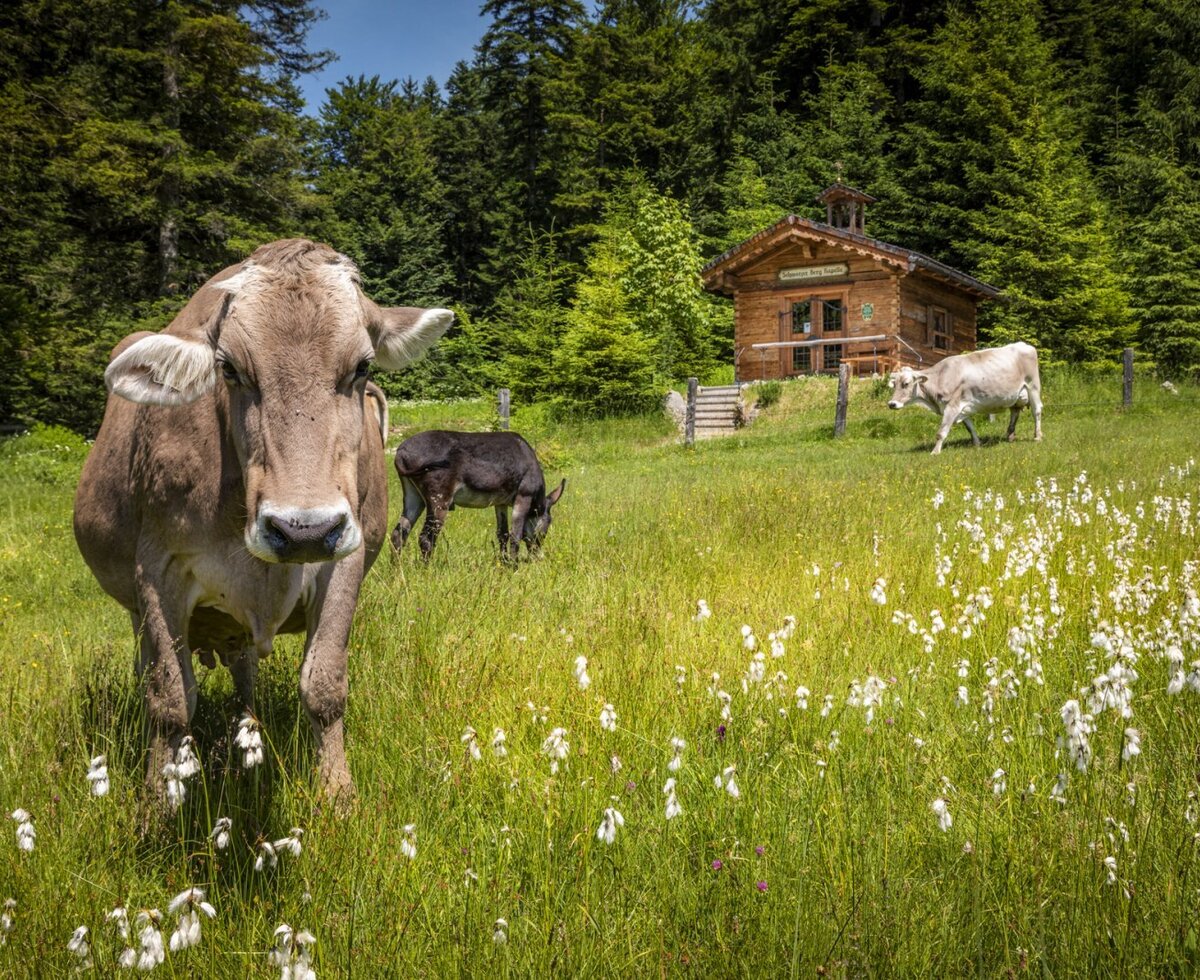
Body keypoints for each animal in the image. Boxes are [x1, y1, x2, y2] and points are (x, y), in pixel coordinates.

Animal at [73, 239, 453, 803]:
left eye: (361, 367)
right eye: (230, 369)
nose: (303, 530)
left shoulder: (347, 556)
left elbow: (324, 686)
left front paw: (338, 797)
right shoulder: (157, 572)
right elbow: (168, 700)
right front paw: (158, 802)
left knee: (245, 670)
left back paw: (248, 735)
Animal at [389, 431, 565, 562]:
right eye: (547, 525)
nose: (536, 558)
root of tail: (401, 451)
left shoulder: (500, 503)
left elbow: (502, 534)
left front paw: (504, 563)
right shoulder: (524, 497)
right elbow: (515, 536)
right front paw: (514, 567)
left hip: (414, 497)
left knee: (398, 534)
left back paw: (396, 573)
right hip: (439, 501)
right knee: (426, 538)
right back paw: (428, 572)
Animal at [886, 342, 1043, 454]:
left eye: (906, 384)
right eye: (894, 384)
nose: (892, 404)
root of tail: (1024, 344)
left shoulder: (952, 406)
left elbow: (941, 432)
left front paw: (935, 452)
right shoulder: (962, 407)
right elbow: (970, 427)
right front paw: (977, 444)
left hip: (1033, 386)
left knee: (1036, 411)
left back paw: (1037, 436)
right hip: (1016, 395)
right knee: (1014, 412)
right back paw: (1010, 436)